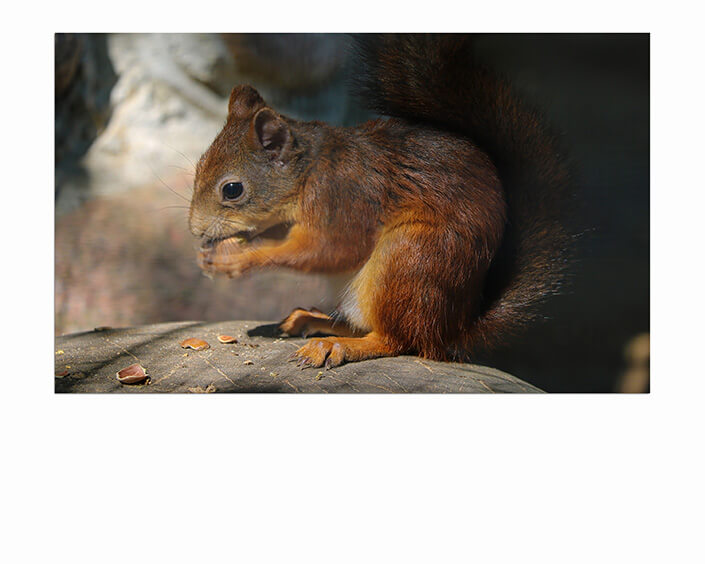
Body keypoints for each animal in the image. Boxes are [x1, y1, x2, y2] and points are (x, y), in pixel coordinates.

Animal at [188, 34, 571, 369]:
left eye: (232, 189)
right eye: (199, 166)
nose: (195, 230)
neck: (308, 172)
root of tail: (454, 331)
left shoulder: (343, 195)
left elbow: (330, 249)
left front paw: (236, 257)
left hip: (411, 256)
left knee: (398, 339)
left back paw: (338, 345)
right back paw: (313, 320)